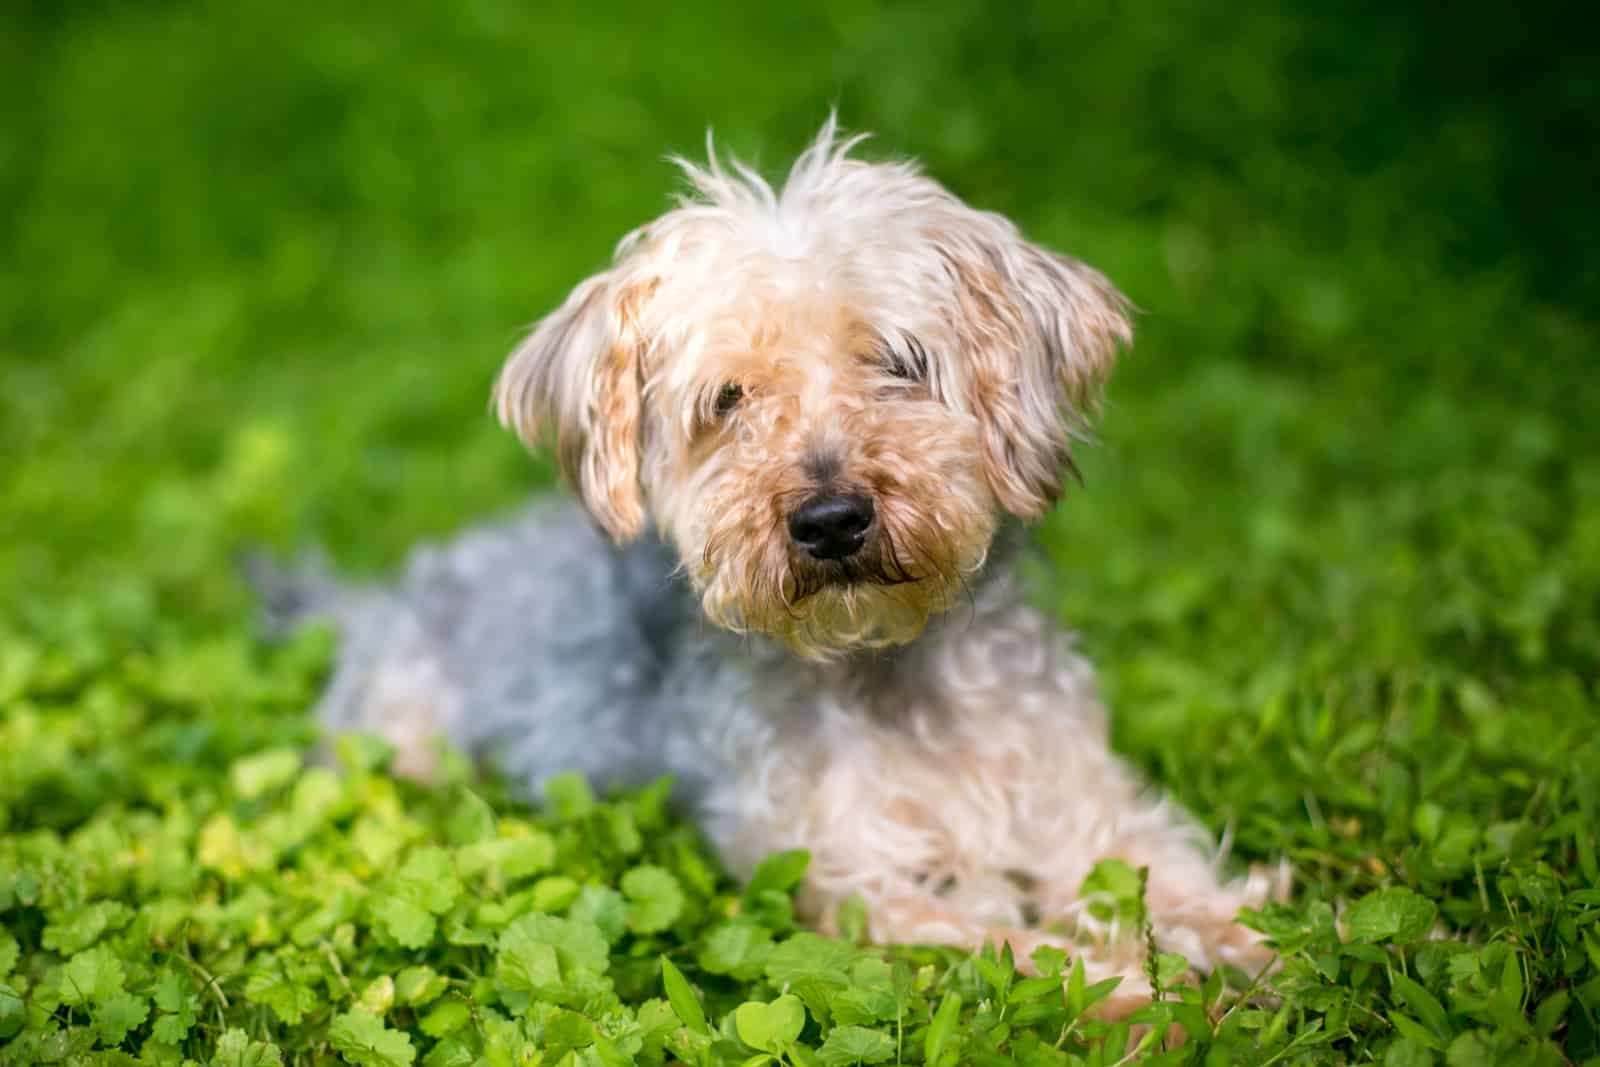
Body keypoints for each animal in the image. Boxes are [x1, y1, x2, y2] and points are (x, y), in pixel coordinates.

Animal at [262, 119, 1286, 1011]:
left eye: (899, 361)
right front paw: (1145, 994)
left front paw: (1265, 948)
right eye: (729, 398)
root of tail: (375, 597)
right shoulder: (854, 884)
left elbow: (1171, 882)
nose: (830, 520)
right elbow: (1017, 945)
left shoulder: (1085, 808)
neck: (888, 669)